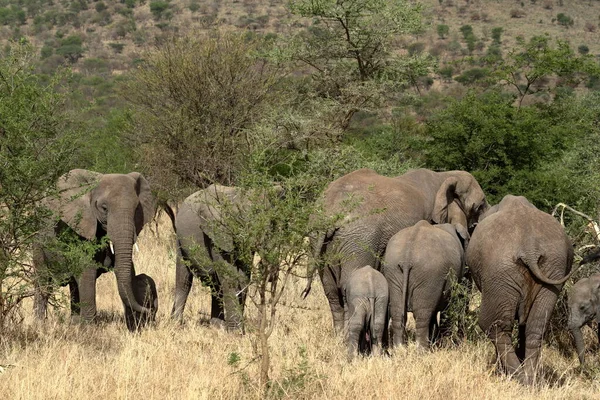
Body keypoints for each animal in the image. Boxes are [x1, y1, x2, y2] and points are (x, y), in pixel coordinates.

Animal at [32, 169, 156, 328]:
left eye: (136, 210)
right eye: (104, 208)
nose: (150, 310)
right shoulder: (79, 228)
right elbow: (87, 272)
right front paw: (89, 329)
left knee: (73, 284)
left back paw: (74, 324)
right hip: (37, 240)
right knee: (43, 281)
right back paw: (39, 324)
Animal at [302, 167, 490, 332]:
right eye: (479, 206)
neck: (445, 176)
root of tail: (330, 210)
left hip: (320, 239)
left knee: (331, 291)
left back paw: (340, 337)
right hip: (359, 238)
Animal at [384, 220, 468, 348]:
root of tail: (407, 256)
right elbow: (447, 306)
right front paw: (445, 344)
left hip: (393, 269)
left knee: (398, 312)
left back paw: (399, 349)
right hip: (429, 275)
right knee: (422, 315)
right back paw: (422, 349)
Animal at [466, 195, 576, 386]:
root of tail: (530, 247)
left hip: (499, 271)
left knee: (494, 325)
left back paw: (515, 376)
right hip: (553, 267)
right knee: (536, 325)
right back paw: (529, 380)